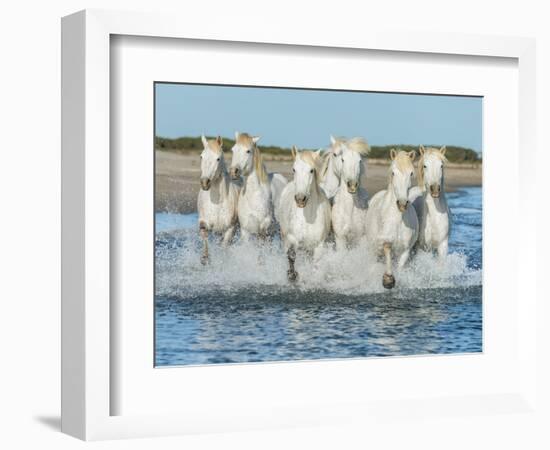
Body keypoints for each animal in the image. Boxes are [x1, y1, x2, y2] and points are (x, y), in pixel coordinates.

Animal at [198, 135, 242, 266]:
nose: (205, 183)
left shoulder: (230, 228)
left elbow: (224, 247)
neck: (217, 202)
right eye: (201, 156)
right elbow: (204, 235)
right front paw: (205, 258)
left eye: (218, 159)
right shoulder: (204, 222)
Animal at [280, 148, 332, 282]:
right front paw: (292, 275)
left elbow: (315, 266)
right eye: (294, 169)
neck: (308, 218)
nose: (300, 199)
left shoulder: (318, 246)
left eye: (311, 170)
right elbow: (291, 256)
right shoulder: (292, 239)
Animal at [368, 149, 420, 290]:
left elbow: (400, 266)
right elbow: (387, 250)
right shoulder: (383, 242)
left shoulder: (406, 250)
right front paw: (388, 280)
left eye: (411, 173)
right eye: (393, 172)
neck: (397, 220)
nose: (402, 203)